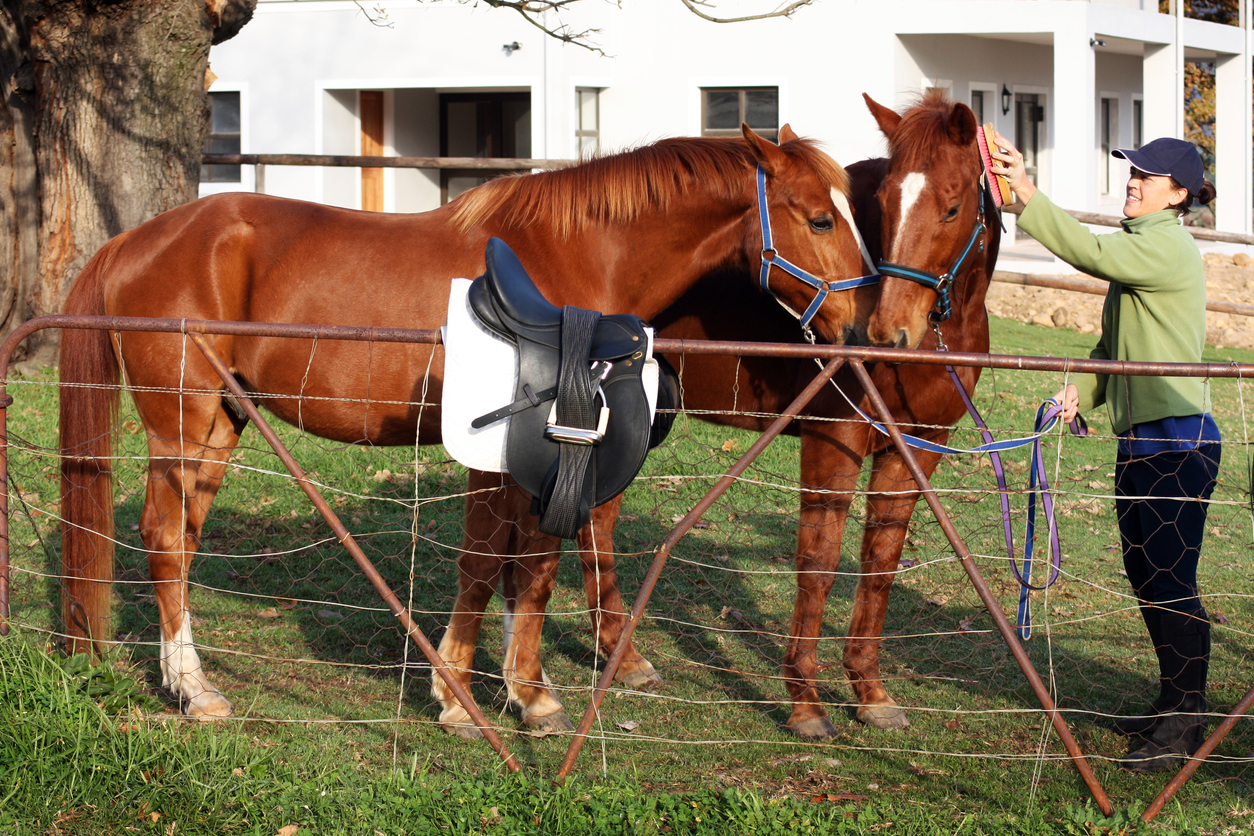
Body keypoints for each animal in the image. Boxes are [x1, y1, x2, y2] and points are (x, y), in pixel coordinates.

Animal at [58, 124, 872, 726]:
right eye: (820, 217)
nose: (866, 328)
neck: (572, 262)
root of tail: (136, 241)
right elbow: (499, 564)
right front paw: (466, 695)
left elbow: (520, 569)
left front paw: (523, 687)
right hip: (181, 422)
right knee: (162, 534)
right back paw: (195, 689)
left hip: (221, 427)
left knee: (182, 539)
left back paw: (180, 677)